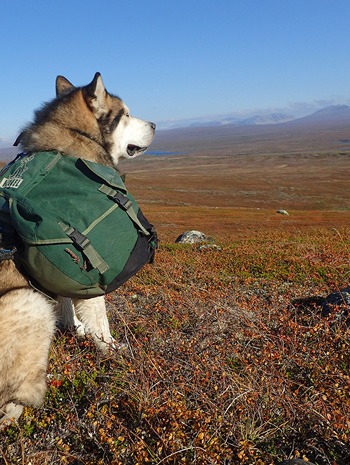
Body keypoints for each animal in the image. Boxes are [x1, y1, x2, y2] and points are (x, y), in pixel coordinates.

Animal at [0, 73, 156, 428]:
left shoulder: (65, 268)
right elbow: (100, 320)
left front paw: (77, 330)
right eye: (126, 114)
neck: (73, 140)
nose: (155, 124)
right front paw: (111, 349)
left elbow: (68, 303)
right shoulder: (91, 271)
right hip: (28, 301)